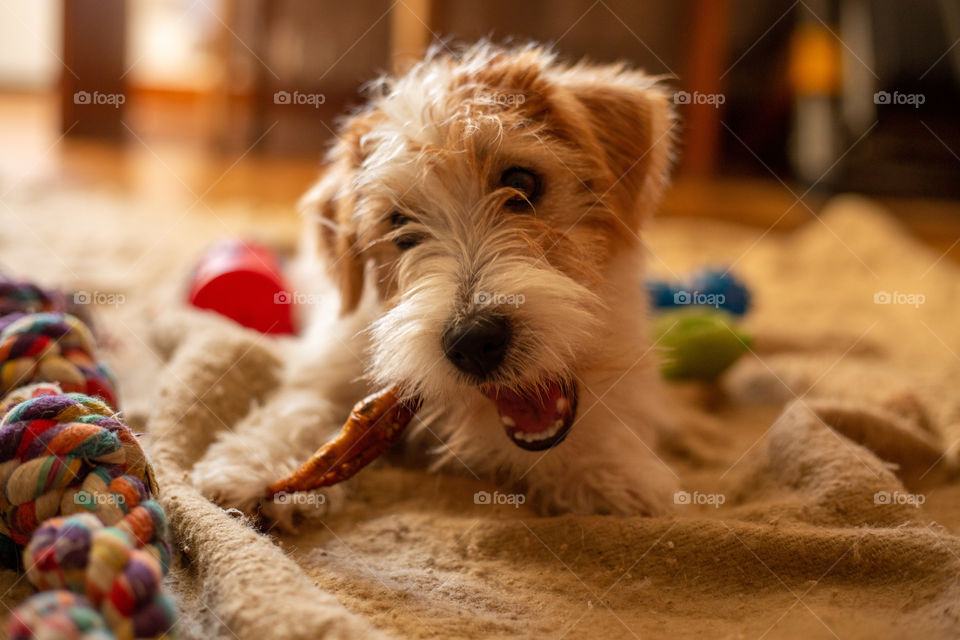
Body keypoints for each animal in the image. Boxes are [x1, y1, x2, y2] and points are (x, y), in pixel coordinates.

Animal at [191, 42, 680, 528]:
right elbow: (303, 404)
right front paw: (259, 464)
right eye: (399, 223)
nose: (474, 341)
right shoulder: (332, 360)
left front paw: (603, 469)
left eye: (522, 182)